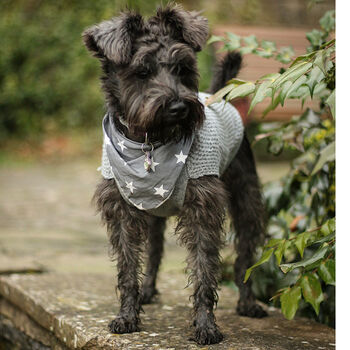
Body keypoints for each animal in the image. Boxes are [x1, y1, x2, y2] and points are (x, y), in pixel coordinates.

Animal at [83, 4, 266, 346]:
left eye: (182, 68)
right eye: (142, 72)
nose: (179, 106)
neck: (149, 143)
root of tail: (220, 95)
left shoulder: (203, 210)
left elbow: (204, 269)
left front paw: (206, 326)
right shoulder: (123, 210)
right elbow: (128, 267)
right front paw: (127, 316)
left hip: (247, 201)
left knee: (245, 256)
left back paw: (248, 303)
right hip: (153, 213)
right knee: (154, 252)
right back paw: (147, 291)